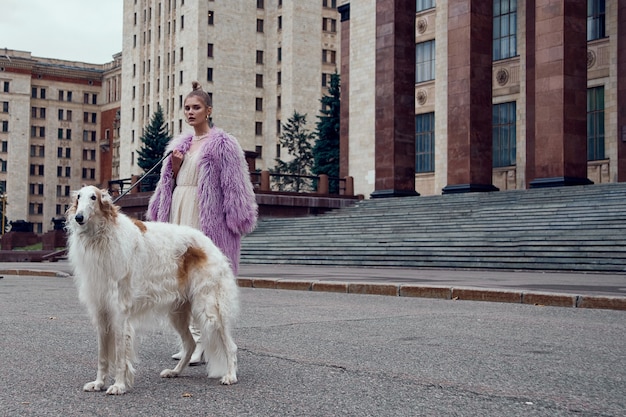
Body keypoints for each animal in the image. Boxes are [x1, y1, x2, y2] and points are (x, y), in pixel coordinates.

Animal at [66, 185, 239, 394]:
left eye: (93, 197)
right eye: (78, 197)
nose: (79, 217)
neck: (102, 237)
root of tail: (210, 244)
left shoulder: (120, 312)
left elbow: (120, 356)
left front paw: (119, 385)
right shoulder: (101, 311)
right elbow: (102, 355)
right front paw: (98, 383)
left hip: (208, 308)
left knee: (230, 346)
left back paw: (230, 376)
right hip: (178, 312)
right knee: (189, 344)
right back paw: (175, 371)